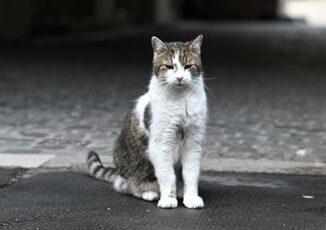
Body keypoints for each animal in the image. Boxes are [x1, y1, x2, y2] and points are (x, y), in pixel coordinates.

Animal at [87, 35, 206, 209]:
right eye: (169, 66)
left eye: (188, 66)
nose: (179, 77)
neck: (181, 99)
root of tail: (118, 172)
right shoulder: (162, 143)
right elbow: (167, 175)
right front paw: (168, 199)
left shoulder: (193, 141)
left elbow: (190, 173)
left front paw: (191, 198)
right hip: (137, 165)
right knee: (128, 186)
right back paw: (148, 192)